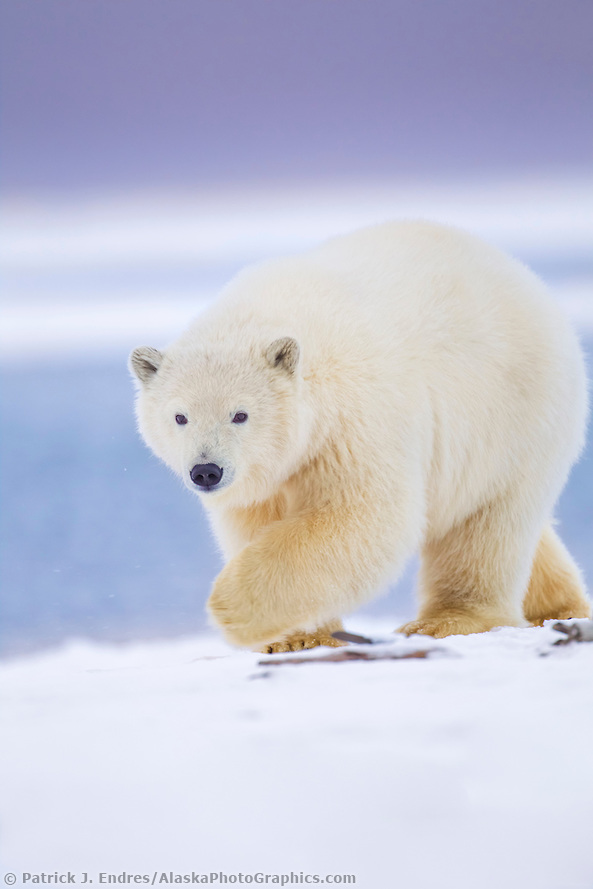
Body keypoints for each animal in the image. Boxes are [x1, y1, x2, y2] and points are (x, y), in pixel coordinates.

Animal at [128, 220, 588, 652]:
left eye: (240, 414)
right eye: (180, 417)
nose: (206, 471)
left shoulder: (355, 420)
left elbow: (366, 517)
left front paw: (231, 606)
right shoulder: (265, 478)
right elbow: (256, 522)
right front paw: (295, 637)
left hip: (514, 412)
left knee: (487, 525)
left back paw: (447, 620)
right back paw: (561, 606)